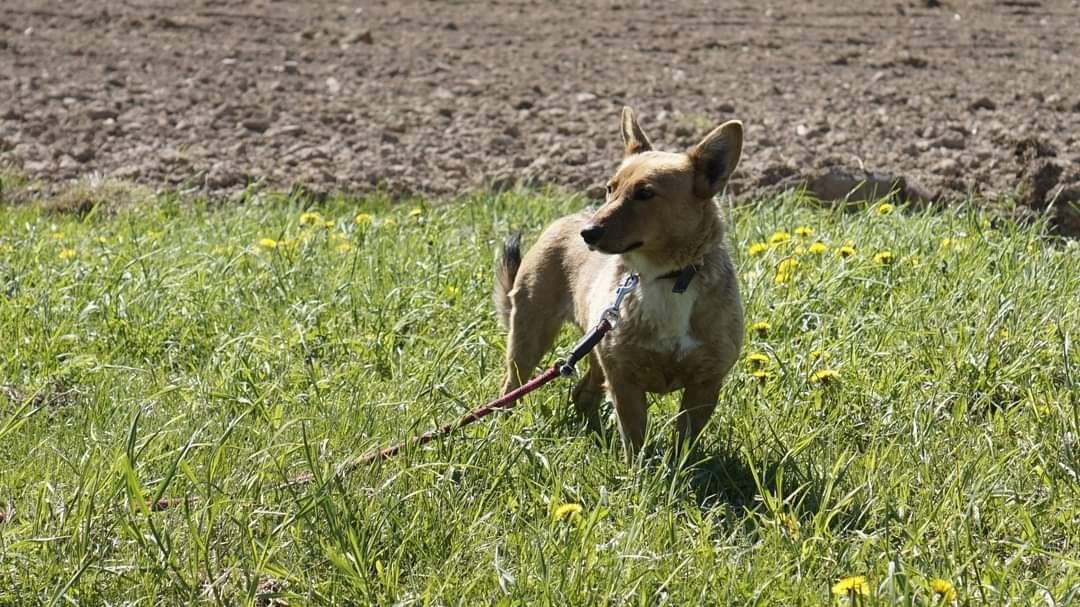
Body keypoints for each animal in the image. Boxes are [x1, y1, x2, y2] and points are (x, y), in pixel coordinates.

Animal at [494, 106, 743, 453]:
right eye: (609, 189)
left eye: (645, 193)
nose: (588, 233)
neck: (663, 277)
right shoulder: (624, 380)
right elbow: (634, 437)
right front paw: (637, 469)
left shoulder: (705, 383)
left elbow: (684, 441)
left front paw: (680, 466)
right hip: (530, 338)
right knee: (511, 387)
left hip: (593, 346)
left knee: (583, 394)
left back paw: (596, 436)